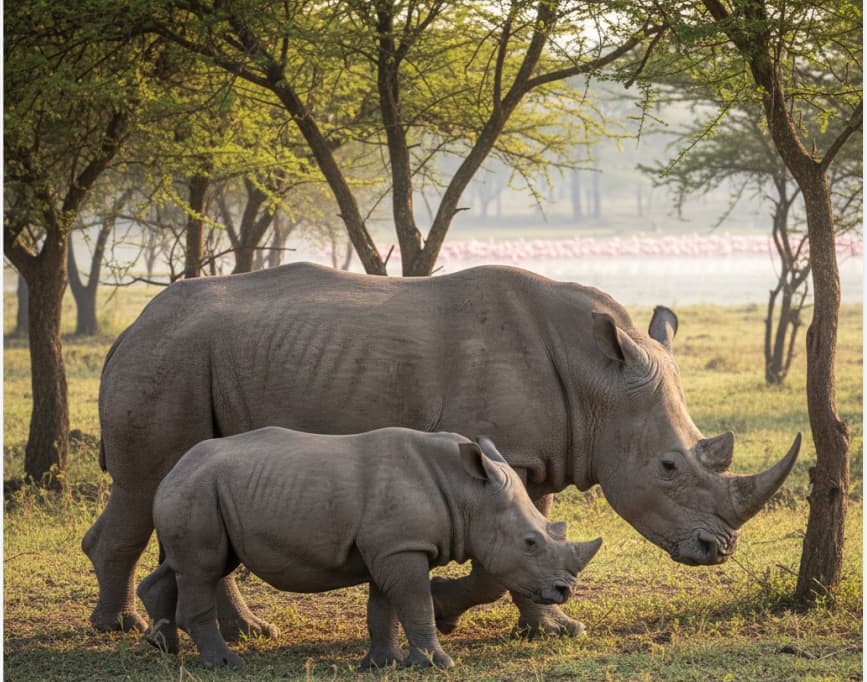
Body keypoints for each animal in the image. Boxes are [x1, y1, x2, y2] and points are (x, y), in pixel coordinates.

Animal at [83, 263, 800, 640]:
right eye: (668, 467)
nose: (717, 550)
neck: (594, 379)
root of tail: (131, 328)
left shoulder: (534, 455)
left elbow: (532, 536)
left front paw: (551, 629)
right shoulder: (490, 453)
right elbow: (495, 561)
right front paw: (449, 611)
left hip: (182, 357)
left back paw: (247, 632)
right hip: (168, 360)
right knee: (144, 486)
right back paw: (118, 627)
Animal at [137, 427, 603, 668]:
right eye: (530, 542)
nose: (564, 591)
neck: (467, 491)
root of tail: (174, 469)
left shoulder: (391, 546)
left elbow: (386, 607)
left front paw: (385, 662)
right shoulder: (402, 548)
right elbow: (415, 603)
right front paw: (438, 664)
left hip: (202, 489)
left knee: (192, 565)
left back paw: (163, 646)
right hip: (197, 489)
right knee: (202, 569)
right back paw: (225, 663)